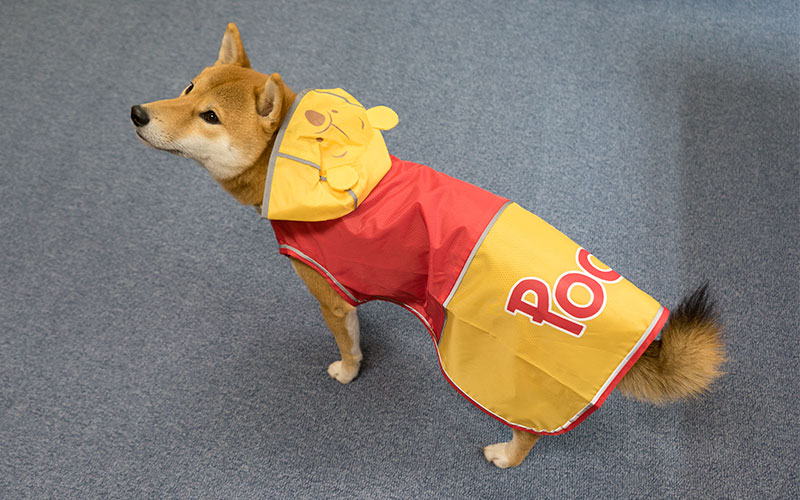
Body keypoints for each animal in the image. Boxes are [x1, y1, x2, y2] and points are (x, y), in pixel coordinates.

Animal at [131, 23, 724, 468]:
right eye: (187, 88)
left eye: (210, 116)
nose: (137, 113)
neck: (306, 165)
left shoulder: (329, 296)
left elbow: (348, 346)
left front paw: (347, 372)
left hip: (494, 371)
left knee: (528, 430)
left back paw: (504, 455)